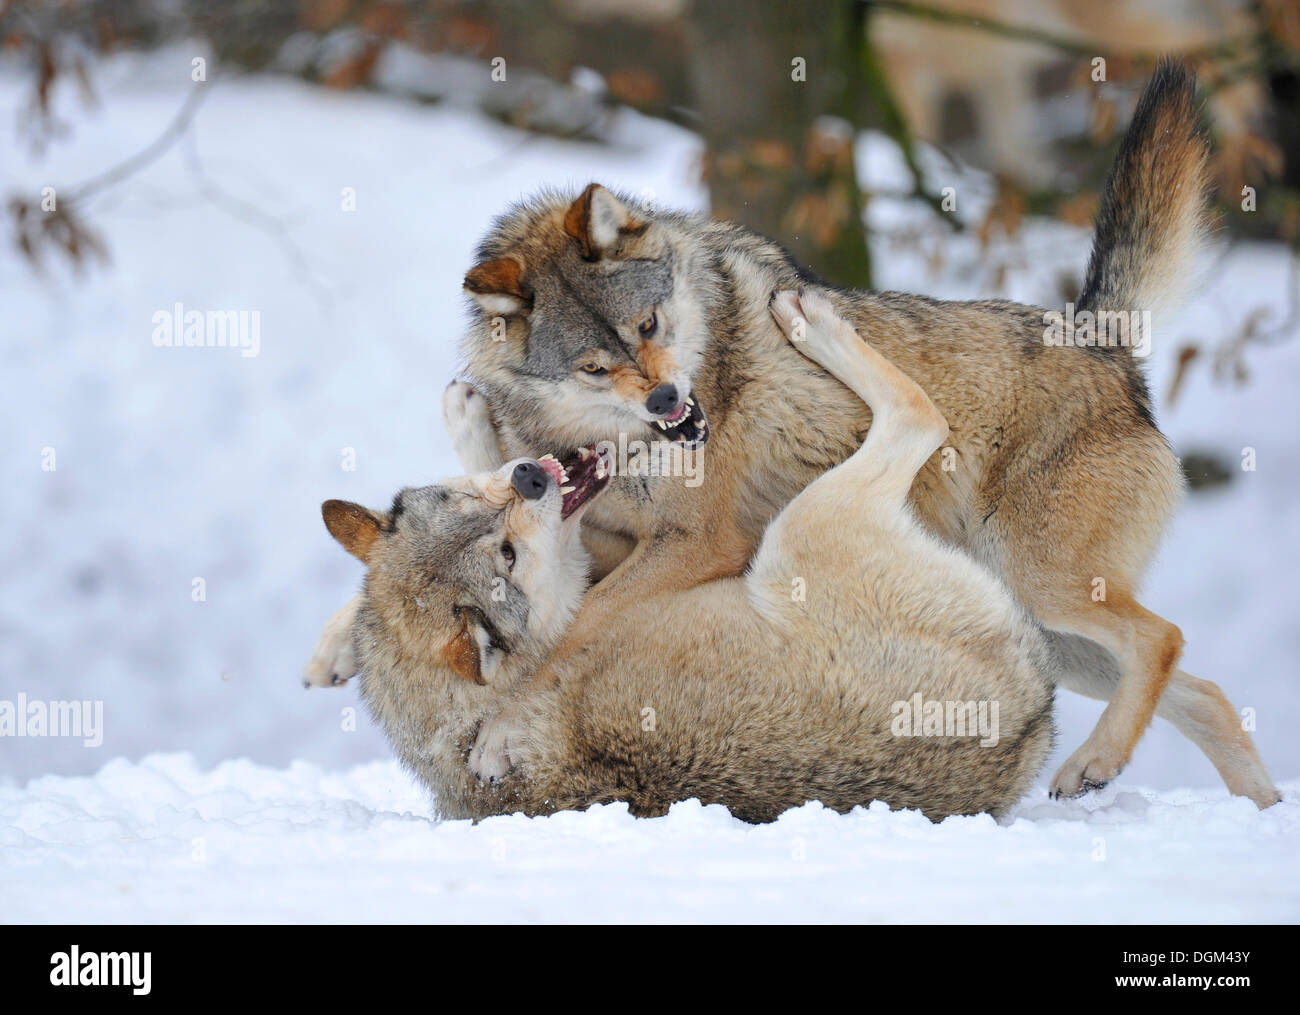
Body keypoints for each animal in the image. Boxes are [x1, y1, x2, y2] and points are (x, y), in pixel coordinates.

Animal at [325, 288, 1055, 821]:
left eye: (476, 513)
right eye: (504, 555)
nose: (532, 478)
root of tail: (1029, 720)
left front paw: (472, 415)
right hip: (798, 533)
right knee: (919, 417)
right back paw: (811, 321)